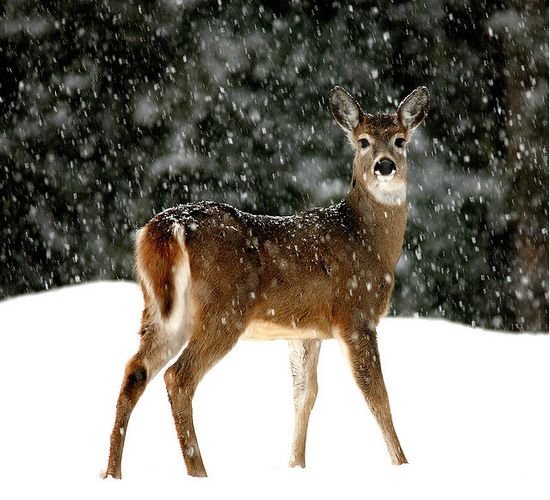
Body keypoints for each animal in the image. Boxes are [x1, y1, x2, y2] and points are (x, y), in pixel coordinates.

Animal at [103, 86, 432, 480]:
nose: (385, 165)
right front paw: (403, 464)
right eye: (363, 141)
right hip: (225, 307)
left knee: (135, 371)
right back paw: (199, 472)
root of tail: (168, 226)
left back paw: (112, 473)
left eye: (400, 140)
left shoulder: (306, 331)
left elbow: (304, 395)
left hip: (160, 308)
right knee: (178, 378)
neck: (366, 240)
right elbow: (376, 394)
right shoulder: (355, 313)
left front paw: (295, 466)